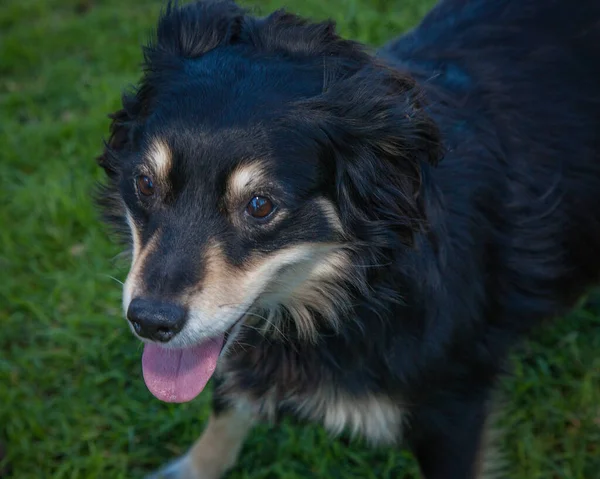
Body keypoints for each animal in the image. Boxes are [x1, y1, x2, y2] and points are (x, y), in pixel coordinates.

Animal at [96, 0, 600, 479]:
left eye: (260, 205)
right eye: (144, 183)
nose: (150, 322)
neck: (366, 286)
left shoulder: (454, 408)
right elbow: (225, 407)